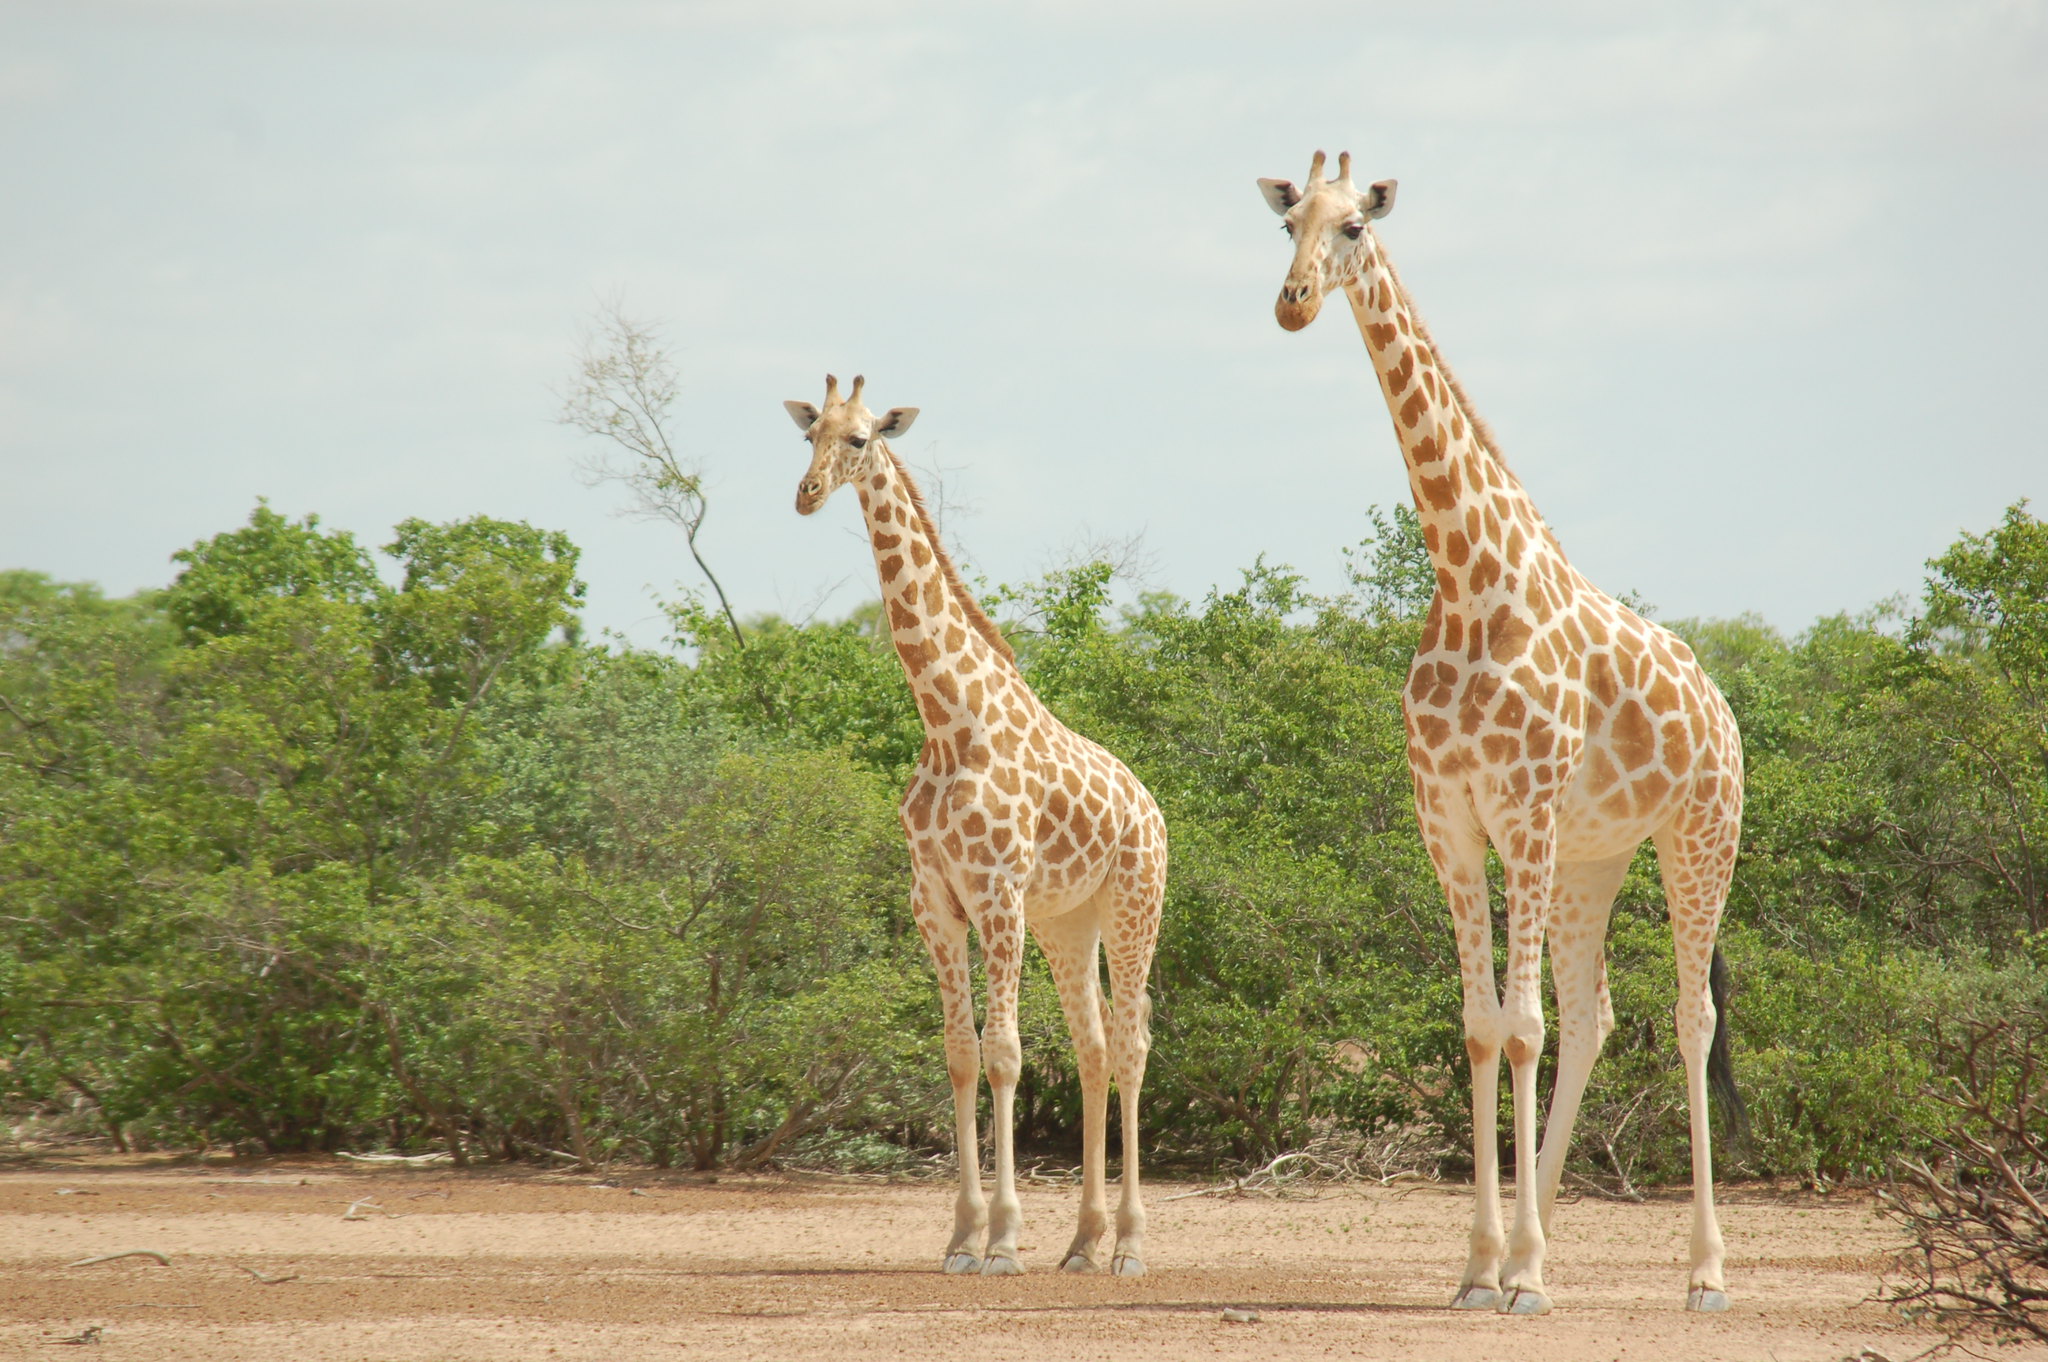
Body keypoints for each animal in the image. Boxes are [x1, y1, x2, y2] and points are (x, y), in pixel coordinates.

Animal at [782, 368, 1171, 1278]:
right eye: (808, 434)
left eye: (861, 438)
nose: (806, 494)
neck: (946, 720)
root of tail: (1151, 805)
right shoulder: (935, 899)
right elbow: (961, 1055)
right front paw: (962, 1236)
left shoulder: (997, 894)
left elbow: (1004, 1056)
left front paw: (1002, 1238)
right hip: (1069, 922)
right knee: (1094, 1048)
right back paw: (1082, 1244)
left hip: (1136, 905)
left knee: (1131, 1048)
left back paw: (1130, 1245)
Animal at [1253, 153, 1753, 1310]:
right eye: (1286, 224)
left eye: (1354, 227)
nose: (1291, 304)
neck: (1468, 579)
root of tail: (1721, 706)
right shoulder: (1449, 818)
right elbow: (1486, 1027)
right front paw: (1487, 1264)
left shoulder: (1519, 807)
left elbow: (1520, 1027)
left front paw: (1515, 1268)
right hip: (1589, 860)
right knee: (1593, 1012)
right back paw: (1545, 1238)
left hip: (1698, 834)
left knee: (1688, 1018)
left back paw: (1703, 1270)